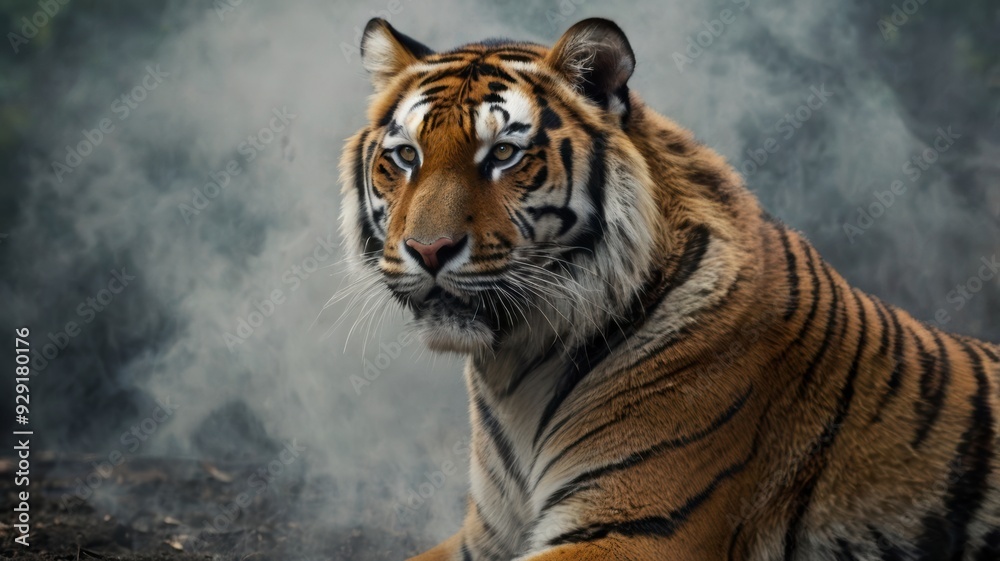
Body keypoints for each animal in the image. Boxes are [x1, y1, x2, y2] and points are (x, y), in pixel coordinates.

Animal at [338, 16, 1000, 561]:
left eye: (503, 153)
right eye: (405, 156)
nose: (428, 251)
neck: (513, 368)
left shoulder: (634, 530)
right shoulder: (486, 538)